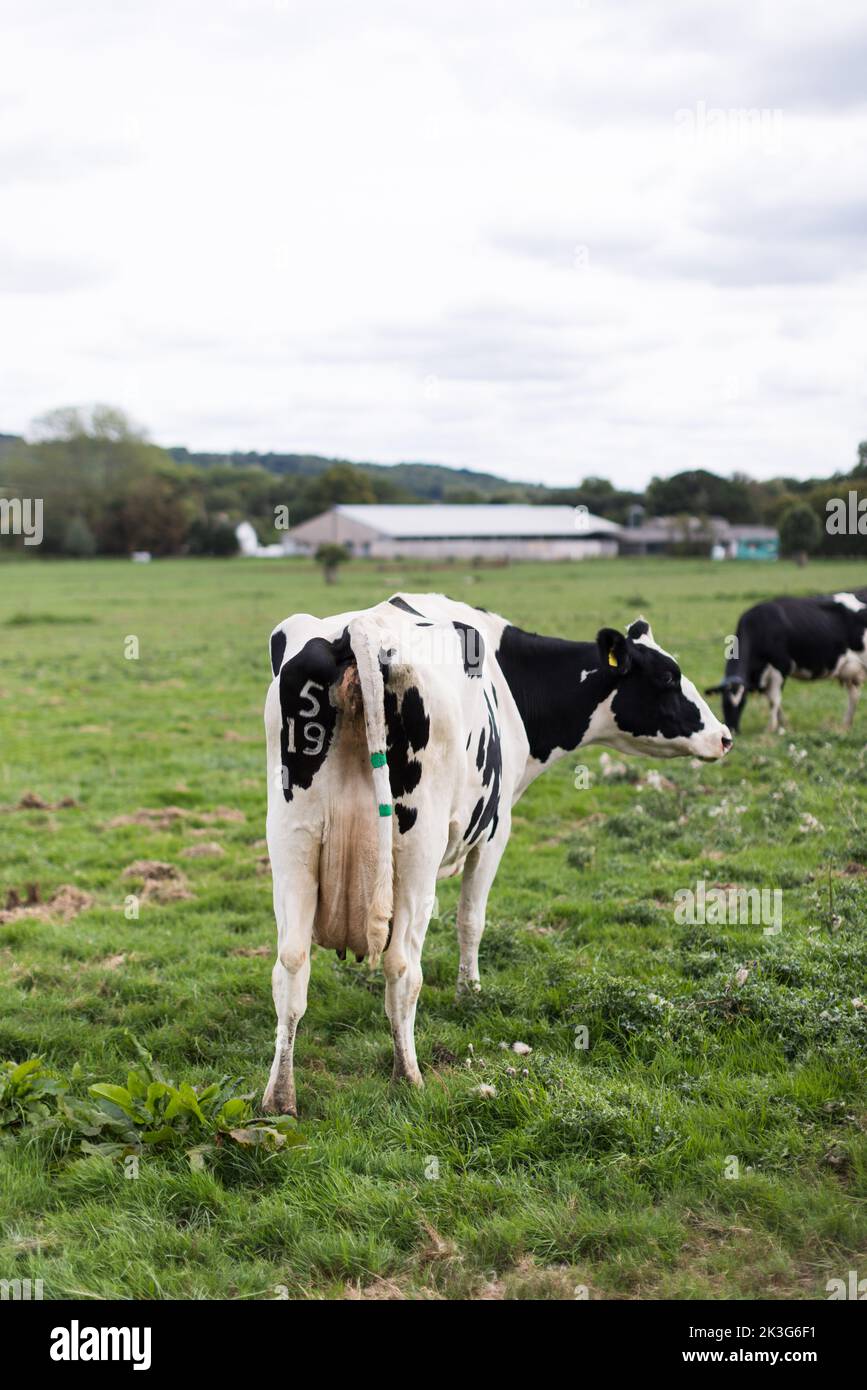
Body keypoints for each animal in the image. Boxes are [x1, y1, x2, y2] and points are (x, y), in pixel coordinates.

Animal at [258, 592, 733, 1112]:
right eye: (667, 676)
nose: (724, 736)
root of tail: (359, 630)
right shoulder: (495, 830)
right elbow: (471, 919)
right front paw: (470, 993)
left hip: (292, 843)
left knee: (291, 967)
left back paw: (279, 1097)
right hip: (415, 849)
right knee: (402, 966)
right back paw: (409, 1077)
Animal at [705, 586, 867, 739]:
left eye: (743, 702)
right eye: (723, 703)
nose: (733, 729)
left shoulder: (781, 667)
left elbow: (774, 700)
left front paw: (771, 728)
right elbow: (773, 701)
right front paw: (783, 725)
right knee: (854, 696)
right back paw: (845, 725)